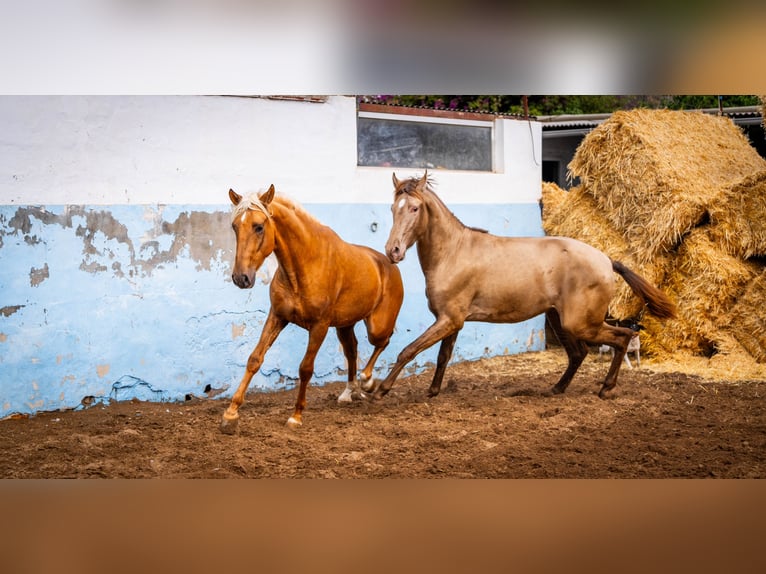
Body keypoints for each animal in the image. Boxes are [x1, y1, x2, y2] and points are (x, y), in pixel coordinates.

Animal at [220, 184, 404, 432]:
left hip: (377, 326)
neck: (302, 266)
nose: (241, 278)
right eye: (235, 226)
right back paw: (349, 392)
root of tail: (389, 265)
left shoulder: (319, 326)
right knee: (352, 350)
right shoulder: (277, 316)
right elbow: (254, 359)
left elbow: (305, 368)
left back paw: (367, 381)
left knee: (382, 342)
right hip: (344, 325)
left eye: (259, 226)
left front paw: (296, 416)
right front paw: (231, 414)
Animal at [372, 173, 680, 402]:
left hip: (582, 323)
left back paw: (606, 388)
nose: (393, 251)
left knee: (622, 337)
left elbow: (408, 351)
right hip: (560, 319)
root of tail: (606, 260)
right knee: (579, 353)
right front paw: (433, 391)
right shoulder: (451, 322)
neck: (453, 253)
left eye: (414, 208)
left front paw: (378, 389)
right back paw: (557, 389)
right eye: (393, 208)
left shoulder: (448, 320)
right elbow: (442, 357)